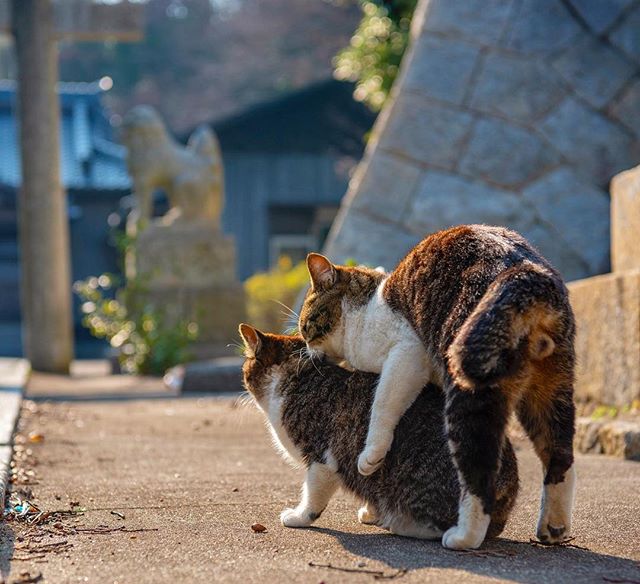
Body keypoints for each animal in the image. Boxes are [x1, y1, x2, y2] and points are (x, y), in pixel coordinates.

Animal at [240, 324, 520, 540]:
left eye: (245, 366)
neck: (295, 379)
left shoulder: (321, 459)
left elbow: (312, 497)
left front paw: (298, 517)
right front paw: (371, 511)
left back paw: (402, 524)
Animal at [298, 222, 576, 548]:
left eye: (305, 327)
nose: (305, 349)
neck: (365, 309)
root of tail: (524, 271)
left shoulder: (407, 353)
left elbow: (382, 404)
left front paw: (370, 457)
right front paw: (373, 509)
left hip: (466, 381)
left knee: (480, 470)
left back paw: (464, 536)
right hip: (551, 388)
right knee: (560, 454)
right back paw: (553, 527)